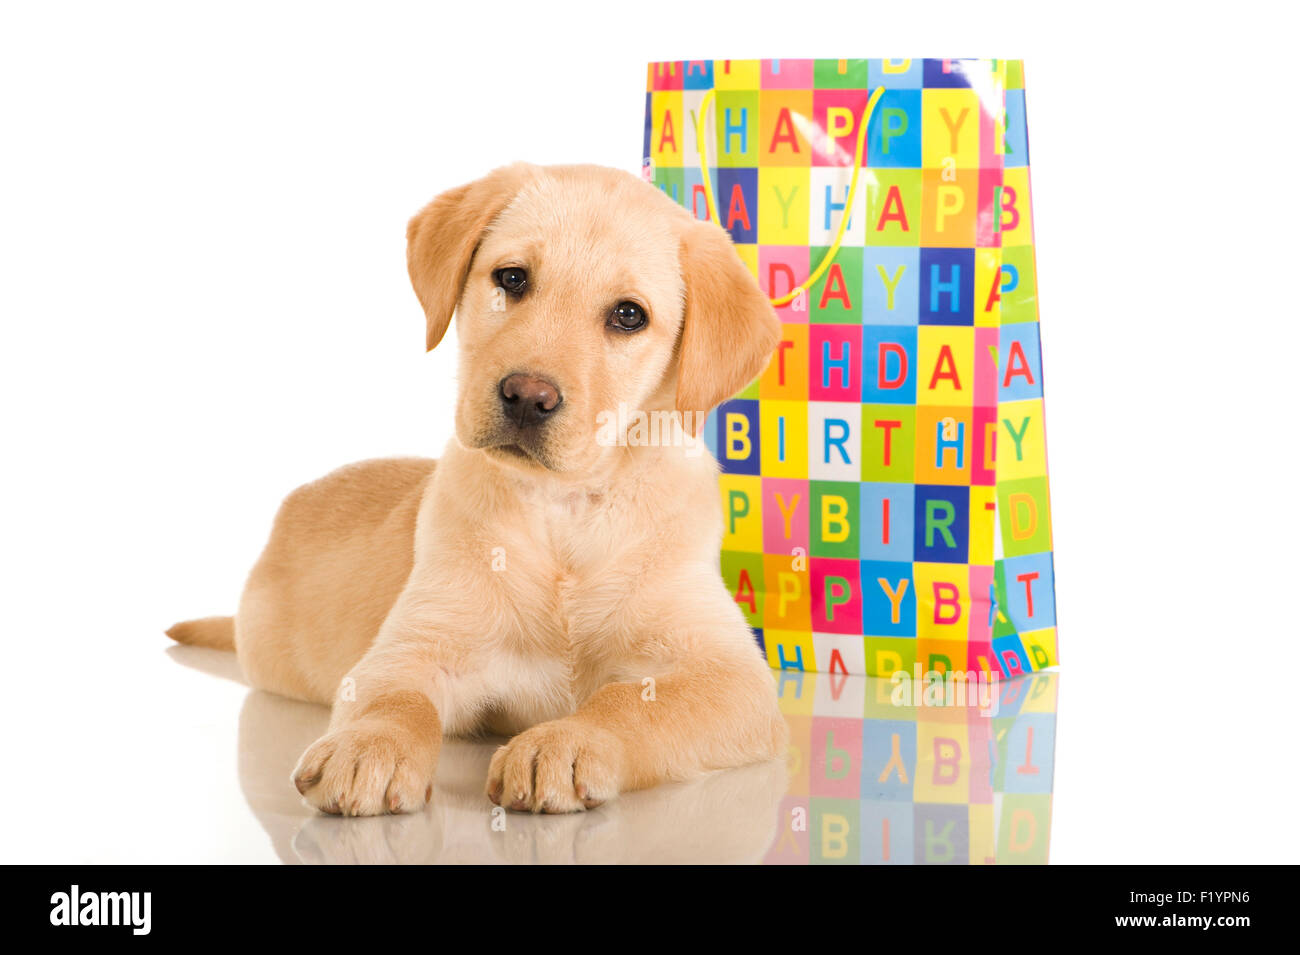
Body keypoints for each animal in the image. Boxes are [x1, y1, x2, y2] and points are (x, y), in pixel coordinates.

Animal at [169, 162, 785, 815]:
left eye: (628, 315)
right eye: (511, 278)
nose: (527, 396)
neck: (561, 510)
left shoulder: (733, 674)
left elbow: (634, 701)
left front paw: (566, 742)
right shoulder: (413, 643)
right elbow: (397, 697)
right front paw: (369, 745)